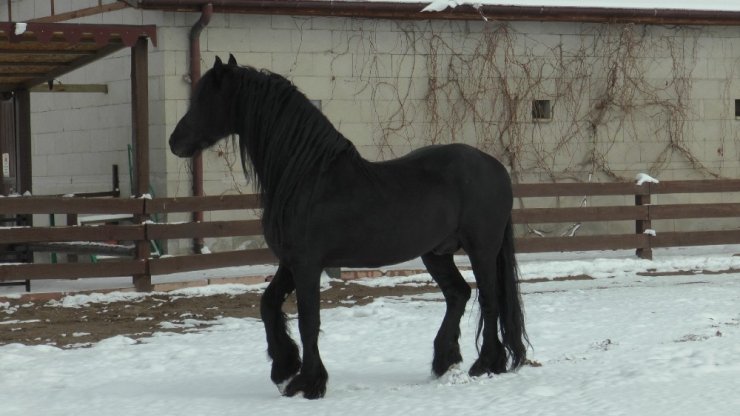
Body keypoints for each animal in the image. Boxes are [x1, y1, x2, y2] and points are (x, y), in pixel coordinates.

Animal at [169, 55, 528, 400]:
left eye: (205, 99)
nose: (175, 142)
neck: (306, 176)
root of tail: (496, 167)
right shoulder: (290, 261)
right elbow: (268, 305)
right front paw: (284, 368)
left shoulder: (307, 264)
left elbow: (309, 320)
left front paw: (308, 383)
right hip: (436, 254)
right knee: (458, 294)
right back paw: (445, 360)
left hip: (481, 250)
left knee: (489, 300)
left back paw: (486, 364)